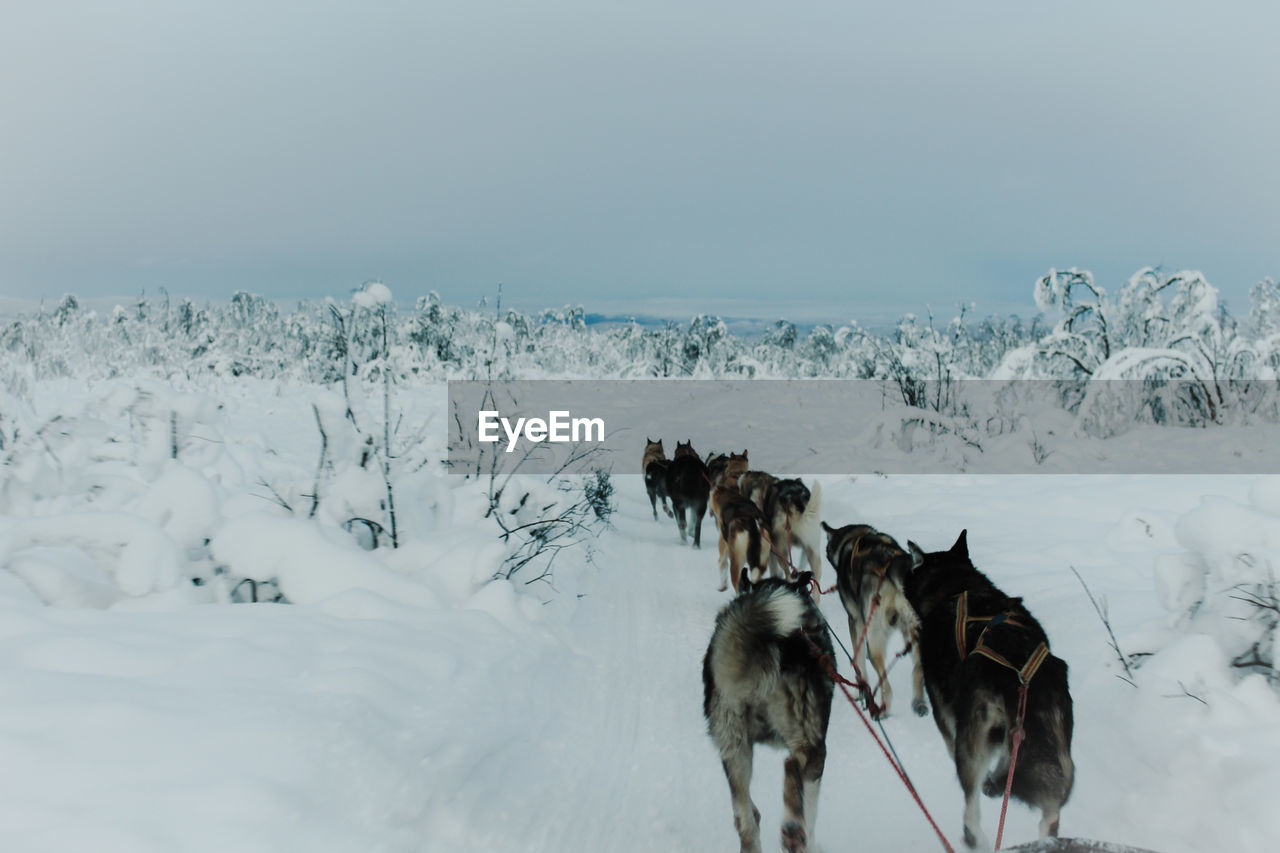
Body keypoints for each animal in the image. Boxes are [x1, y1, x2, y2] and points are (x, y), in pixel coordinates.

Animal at [706, 571, 834, 850]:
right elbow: (812, 810)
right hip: (810, 738)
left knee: (747, 822)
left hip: (734, 745)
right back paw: (793, 829)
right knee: (794, 763)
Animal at [906, 532, 1075, 845]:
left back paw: (974, 837)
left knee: (970, 804)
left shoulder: (945, 715)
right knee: (1051, 811)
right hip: (1059, 748)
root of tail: (1016, 677)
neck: (958, 586)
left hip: (970, 745)